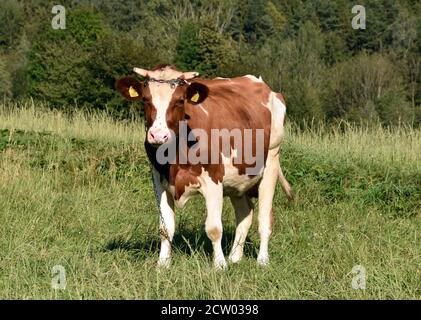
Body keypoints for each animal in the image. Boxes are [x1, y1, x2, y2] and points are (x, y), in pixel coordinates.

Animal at [115, 63, 292, 268]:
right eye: (145, 99)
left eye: (180, 100)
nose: (158, 135)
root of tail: (263, 85)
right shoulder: (159, 181)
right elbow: (165, 228)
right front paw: (163, 264)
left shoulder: (214, 180)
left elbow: (214, 228)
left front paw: (220, 265)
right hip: (238, 180)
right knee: (245, 213)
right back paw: (235, 257)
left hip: (271, 161)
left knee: (264, 218)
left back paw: (262, 260)